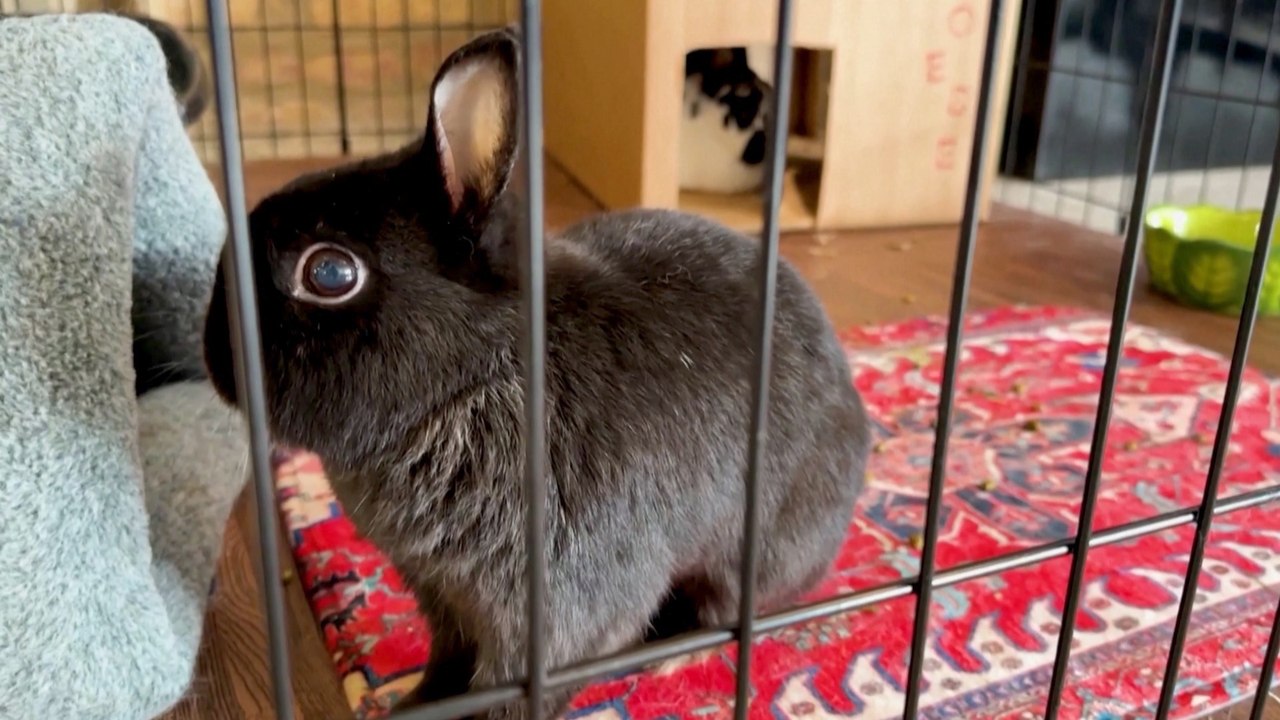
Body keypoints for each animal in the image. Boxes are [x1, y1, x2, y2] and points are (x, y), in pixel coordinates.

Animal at [202, 27, 870, 720]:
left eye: (329, 273)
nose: (214, 354)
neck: (475, 377)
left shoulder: (551, 618)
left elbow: (514, 690)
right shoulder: (441, 596)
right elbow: (447, 660)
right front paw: (411, 704)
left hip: (754, 548)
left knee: (730, 601)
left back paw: (678, 648)